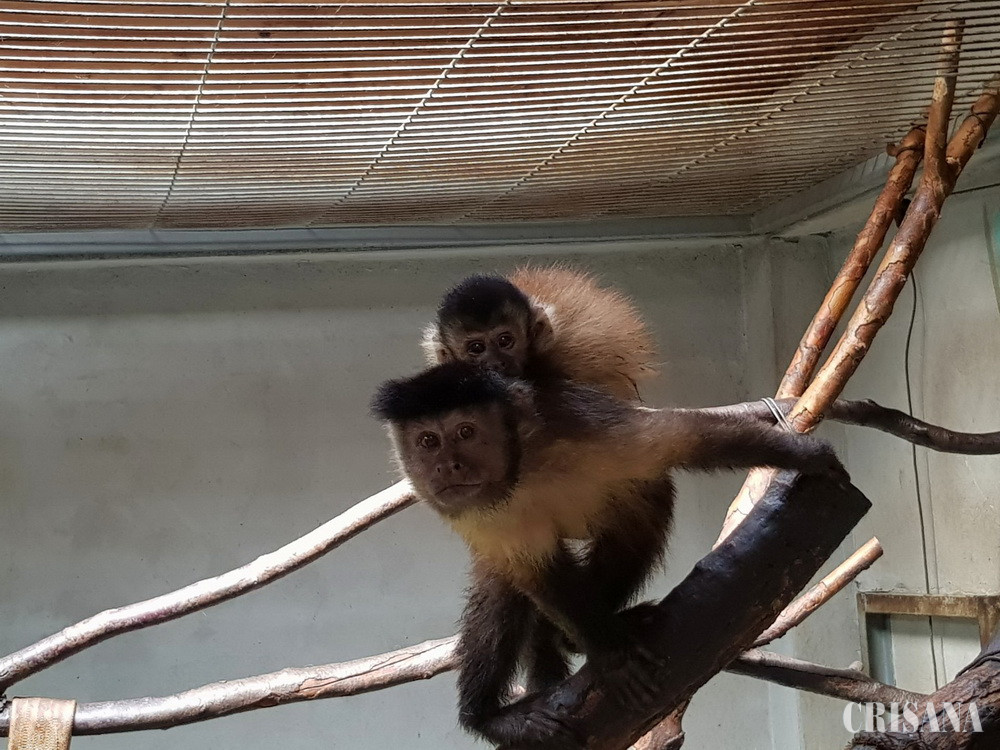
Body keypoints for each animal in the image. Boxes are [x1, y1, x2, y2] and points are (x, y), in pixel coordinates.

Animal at [372, 362, 847, 749]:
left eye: (466, 432)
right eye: (428, 441)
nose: (447, 466)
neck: (521, 470)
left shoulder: (578, 426)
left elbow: (680, 437)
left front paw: (806, 455)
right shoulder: (477, 514)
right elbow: (536, 574)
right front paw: (610, 654)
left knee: (639, 511)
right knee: (506, 588)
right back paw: (489, 714)